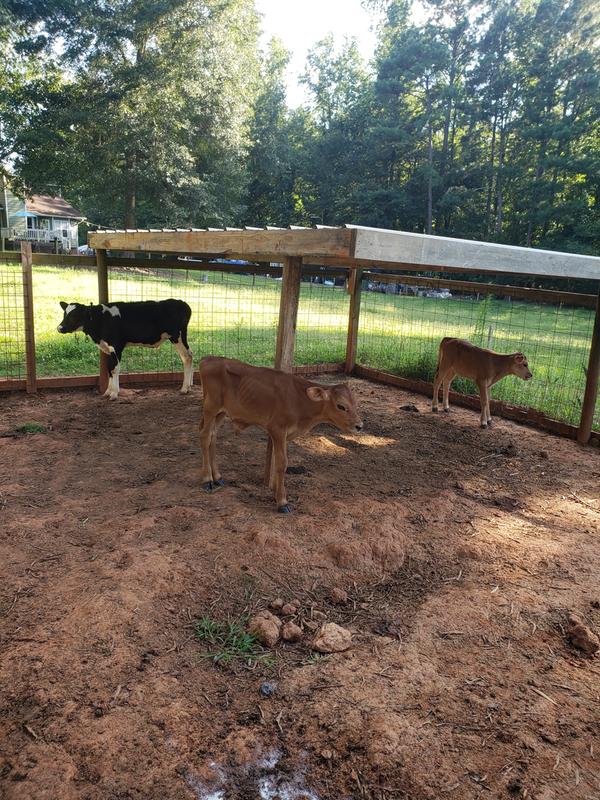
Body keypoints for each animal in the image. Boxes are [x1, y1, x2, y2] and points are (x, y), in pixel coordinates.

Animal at [57, 299, 193, 400]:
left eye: (74, 315)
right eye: (65, 314)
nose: (60, 328)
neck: (101, 320)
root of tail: (182, 302)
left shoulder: (117, 346)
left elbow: (115, 369)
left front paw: (114, 393)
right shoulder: (108, 349)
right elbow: (109, 369)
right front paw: (107, 391)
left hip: (177, 336)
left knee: (187, 357)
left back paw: (184, 388)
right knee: (190, 355)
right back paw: (190, 385)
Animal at [198, 357, 363, 513]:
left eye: (355, 403)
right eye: (341, 406)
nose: (359, 426)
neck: (300, 401)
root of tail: (208, 358)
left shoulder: (281, 434)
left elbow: (274, 459)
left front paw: (274, 489)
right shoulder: (277, 429)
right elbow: (282, 462)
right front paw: (282, 501)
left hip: (222, 412)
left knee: (213, 436)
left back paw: (217, 477)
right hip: (210, 407)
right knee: (205, 436)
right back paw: (207, 480)